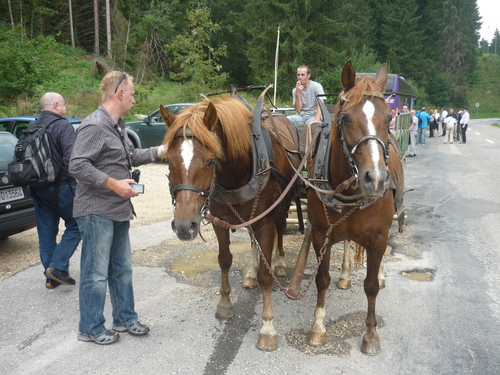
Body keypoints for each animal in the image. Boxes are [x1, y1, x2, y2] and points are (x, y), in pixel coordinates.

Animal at [304, 61, 406, 356]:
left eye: (388, 117)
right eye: (346, 118)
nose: (376, 179)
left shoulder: (378, 238)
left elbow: (370, 286)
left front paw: (371, 334)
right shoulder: (321, 234)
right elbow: (322, 279)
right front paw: (318, 327)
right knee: (348, 243)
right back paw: (346, 274)